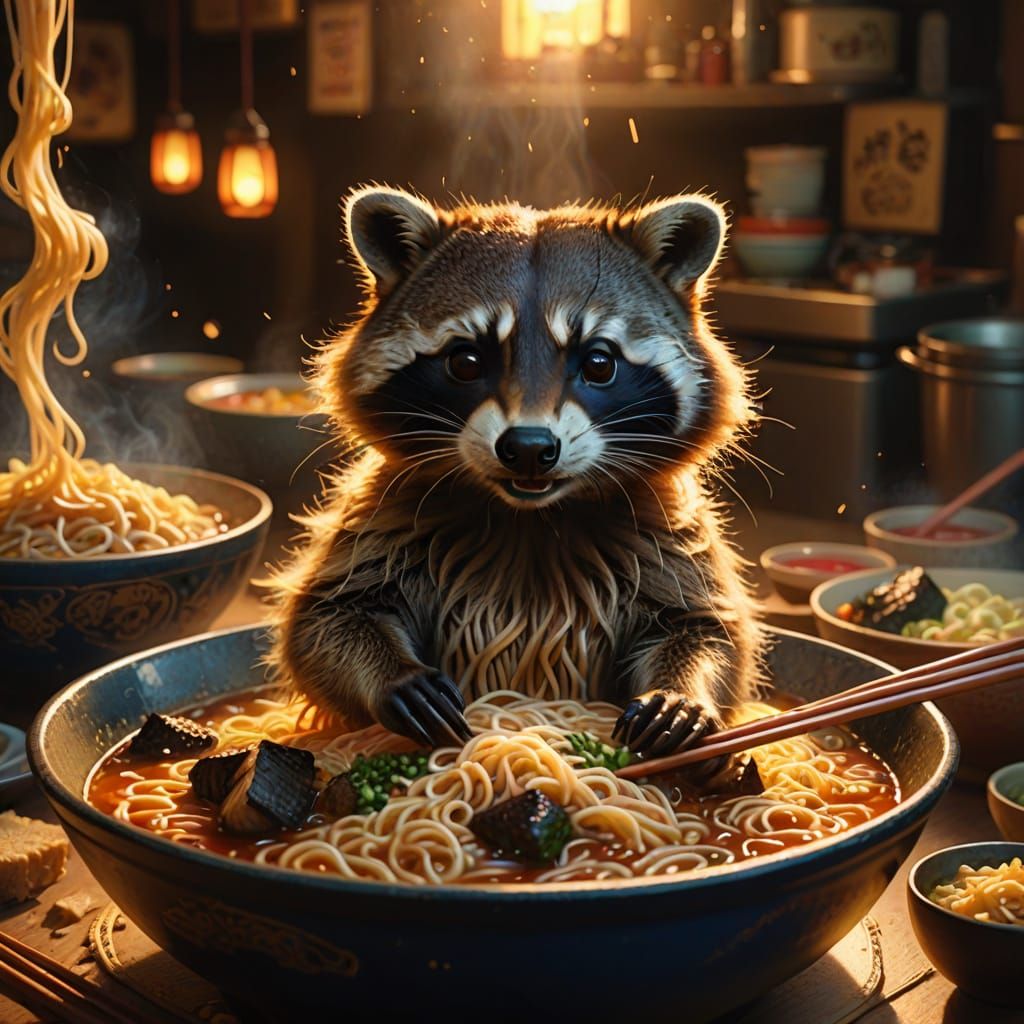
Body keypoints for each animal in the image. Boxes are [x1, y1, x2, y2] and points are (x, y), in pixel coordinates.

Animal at [268, 185, 764, 763]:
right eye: (465, 360)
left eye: (599, 363)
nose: (528, 449)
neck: (531, 519)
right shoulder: (385, 517)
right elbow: (326, 619)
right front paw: (394, 676)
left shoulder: (668, 536)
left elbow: (708, 629)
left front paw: (683, 690)